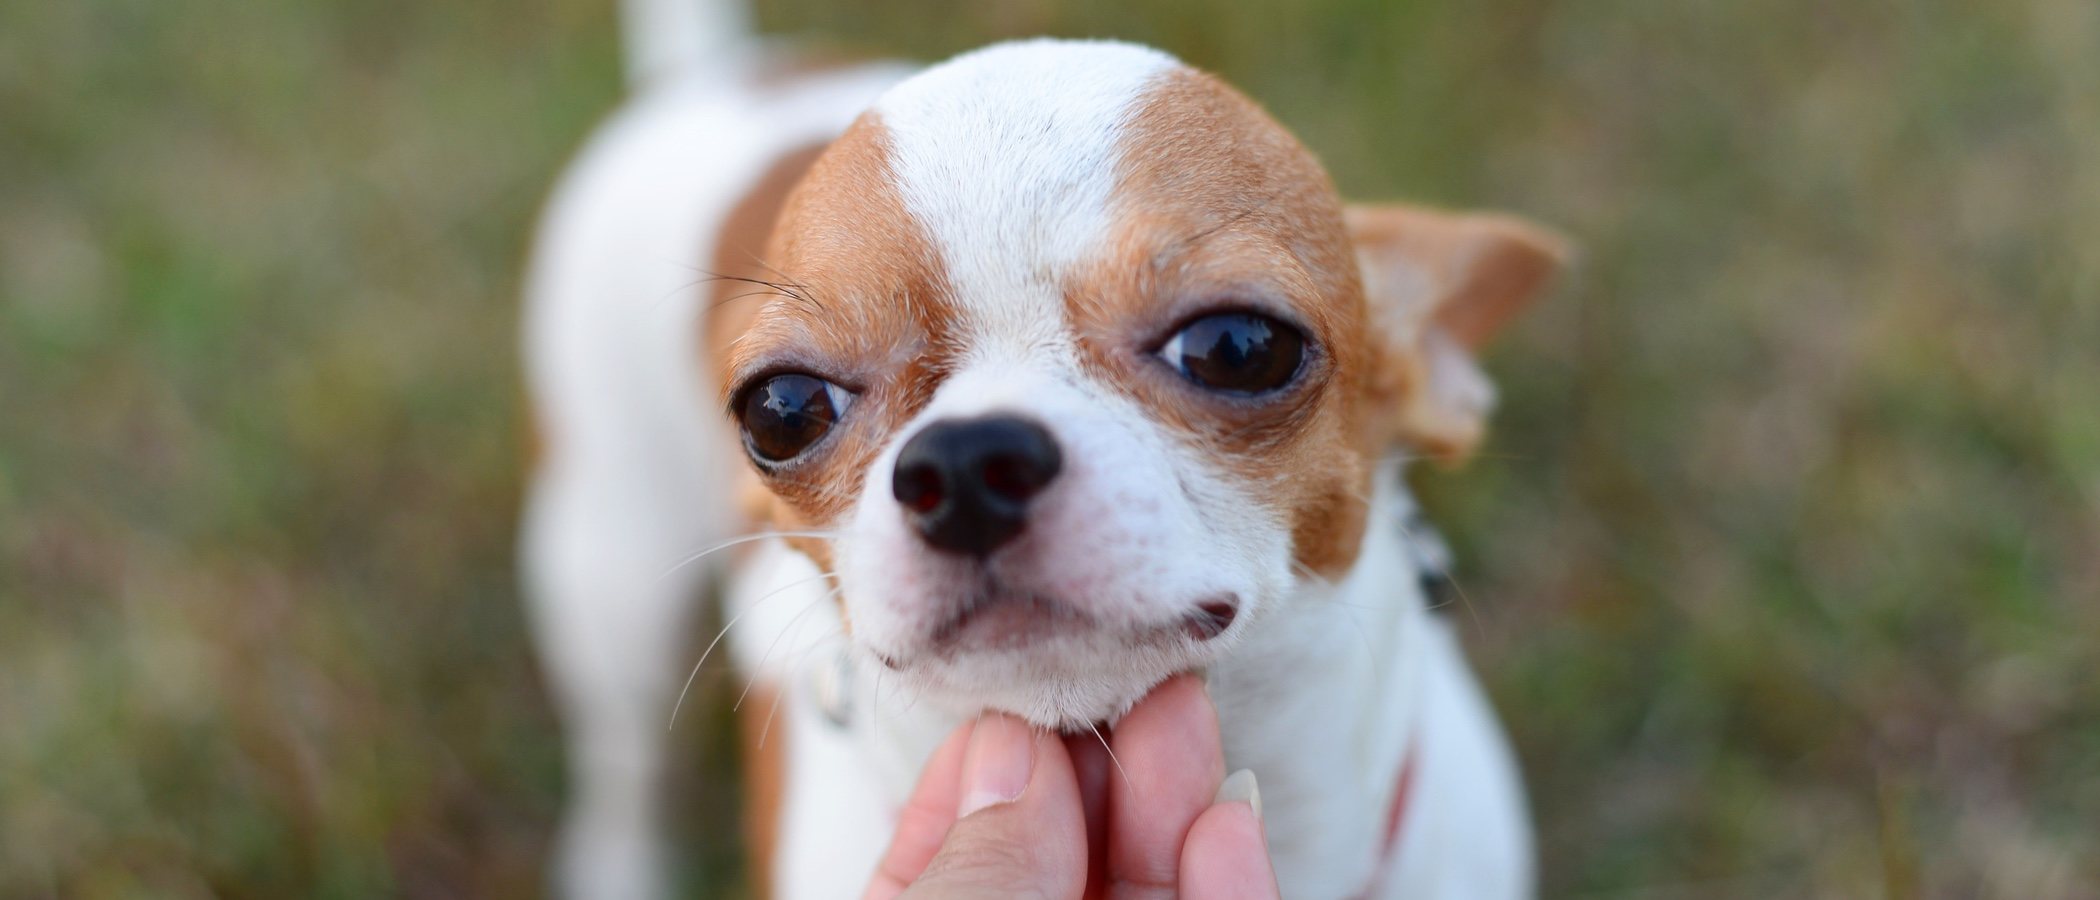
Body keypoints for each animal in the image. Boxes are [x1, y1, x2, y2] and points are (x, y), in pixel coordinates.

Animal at [525, 3, 1570, 893]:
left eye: (1239, 346)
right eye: (782, 410)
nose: (963, 464)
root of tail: (720, 76)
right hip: (612, 581)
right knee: (624, 763)